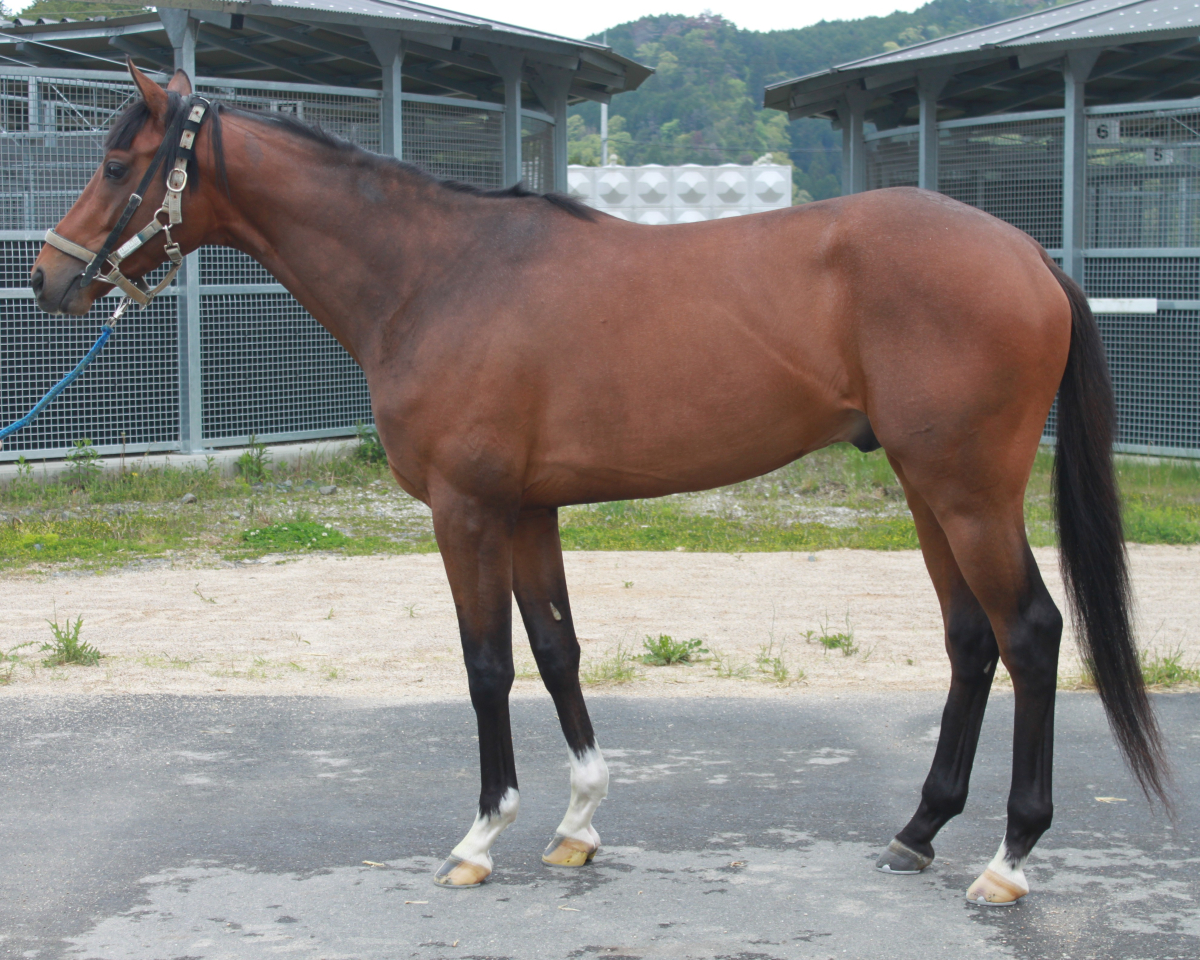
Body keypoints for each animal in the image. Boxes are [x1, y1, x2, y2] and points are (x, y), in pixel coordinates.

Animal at [31, 62, 1168, 903]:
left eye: (118, 159)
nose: (51, 277)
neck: (437, 276)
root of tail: (1026, 252)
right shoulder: (531, 509)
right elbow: (558, 651)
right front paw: (577, 824)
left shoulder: (468, 512)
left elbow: (487, 663)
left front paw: (480, 838)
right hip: (930, 490)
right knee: (972, 640)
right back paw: (919, 830)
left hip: (969, 492)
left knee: (1030, 634)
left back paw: (1008, 861)